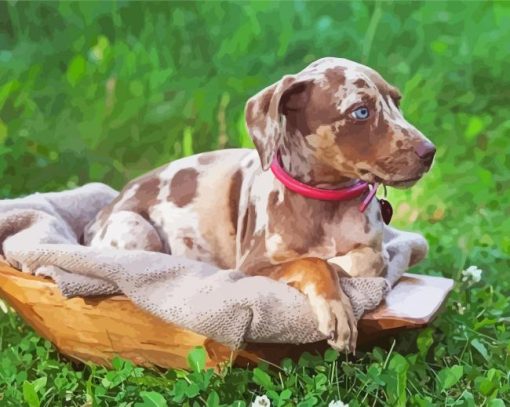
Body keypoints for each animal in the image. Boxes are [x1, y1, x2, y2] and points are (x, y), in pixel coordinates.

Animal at [83, 58, 434, 354]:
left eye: (397, 102)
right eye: (361, 111)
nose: (429, 152)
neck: (326, 204)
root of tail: (95, 220)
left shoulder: (374, 247)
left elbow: (371, 258)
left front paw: (341, 265)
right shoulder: (253, 267)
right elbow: (312, 263)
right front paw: (336, 308)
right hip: (135, 227)